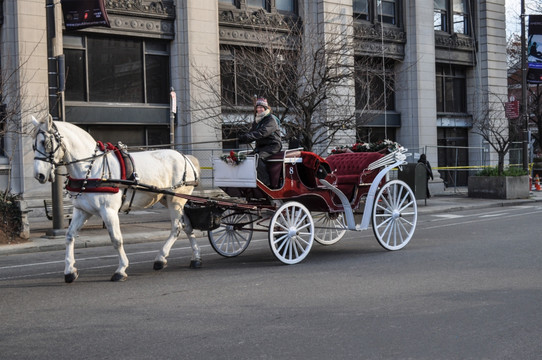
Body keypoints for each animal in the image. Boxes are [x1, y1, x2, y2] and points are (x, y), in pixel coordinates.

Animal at [31, 116, 202, 282]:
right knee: (187, 226)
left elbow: (116, 239)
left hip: (175, 201)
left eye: (45, 143)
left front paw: (121, 269)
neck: (91, 167)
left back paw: (161, 257)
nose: (39, 175)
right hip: (169, 199)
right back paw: (195, 258)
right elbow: (69, 236)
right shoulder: (82, 210)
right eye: (33, 145)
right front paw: (69, 271)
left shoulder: (108, 211)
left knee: (177, 227)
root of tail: (185, 157)